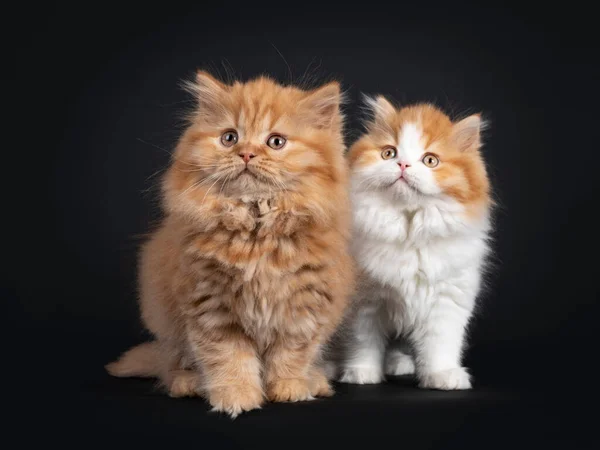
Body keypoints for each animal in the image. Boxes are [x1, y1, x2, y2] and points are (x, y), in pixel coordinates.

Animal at [106, 72, 356, 416]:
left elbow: (291, 354)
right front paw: (236, 396)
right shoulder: (211, 305)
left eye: (276, 141)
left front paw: (289, 389)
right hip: (168, 327)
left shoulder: (305, 305)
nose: (246, 153)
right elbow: (229, 358)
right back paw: (189, 383)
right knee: (172, 367)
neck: (256, 231)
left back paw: (314, 381)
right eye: (229, 138)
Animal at [338, 98, 492, 390]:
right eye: (389, 153)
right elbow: (364, 342)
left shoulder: (448, 298)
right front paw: (362, 372)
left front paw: (443, 376)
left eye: (430, 160)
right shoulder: (365, 302)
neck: (410, 231)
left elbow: (440, 344)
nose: (403, 165)